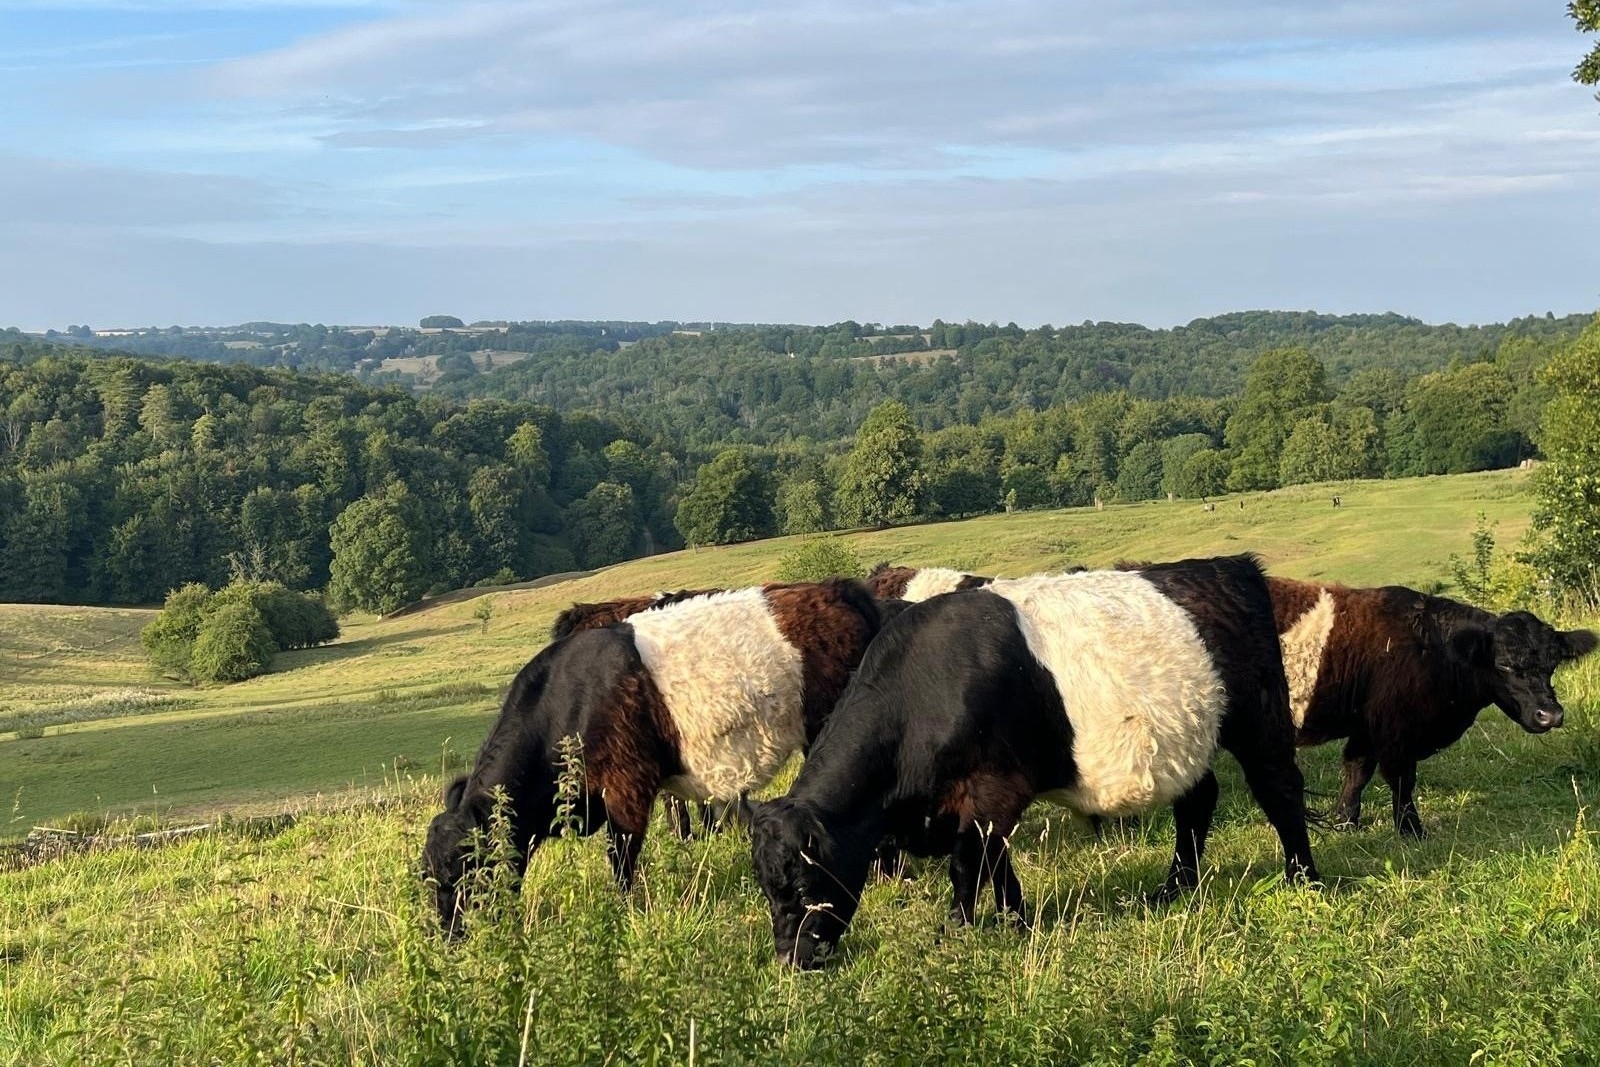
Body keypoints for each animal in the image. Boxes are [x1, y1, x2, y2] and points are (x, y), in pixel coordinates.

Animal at [423, 579, 885, 936]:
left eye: (464, 870)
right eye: (429, 877)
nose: (452, 936)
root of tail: (838, 589)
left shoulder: (627, 786)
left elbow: (622, 861)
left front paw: (625, 913)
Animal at [750, 555, 1319, 969]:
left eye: (799, 883)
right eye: (764, 885)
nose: (792, 960)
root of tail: (1231, 566)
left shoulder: (992, 790)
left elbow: (968, 865)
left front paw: (956, 932)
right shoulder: (980, 805)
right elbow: (997, 863)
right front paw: (1015, 921)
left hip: (1258, 723)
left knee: (1280, 793)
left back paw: (1303, 881)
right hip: (1188, 738)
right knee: (1198, 801)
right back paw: (1172, 889)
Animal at [1271, 577, 1598, 836]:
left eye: (1552, 665)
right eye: (1504, 665)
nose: (1550, 715)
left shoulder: (1367, 726)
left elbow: (1357, 772)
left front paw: (1345, 822)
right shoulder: (1396, 730)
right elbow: (1402, 781)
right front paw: (1412, 831)